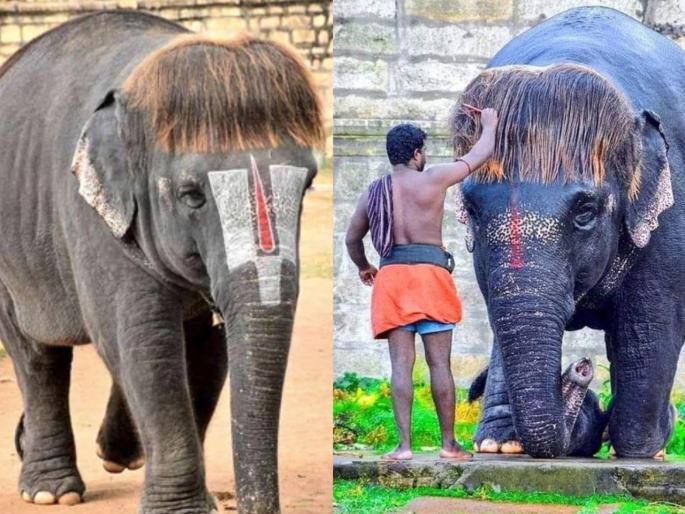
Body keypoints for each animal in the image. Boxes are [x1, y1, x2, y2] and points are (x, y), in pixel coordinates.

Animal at [0, 10, 322, 514]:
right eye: (191, 195)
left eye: (308, 185)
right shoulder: (89, 216)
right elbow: (144, 335)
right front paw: (184, 509)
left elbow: (208, 347)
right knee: (35, 352)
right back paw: (52, 491)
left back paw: (116, 452)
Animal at [451, 6, 684, 458]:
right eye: (471, 210)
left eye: (585, 212)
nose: (580, 368)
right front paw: (499, 445)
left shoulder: (672, 212)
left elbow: (647, 327)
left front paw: (642, 448)